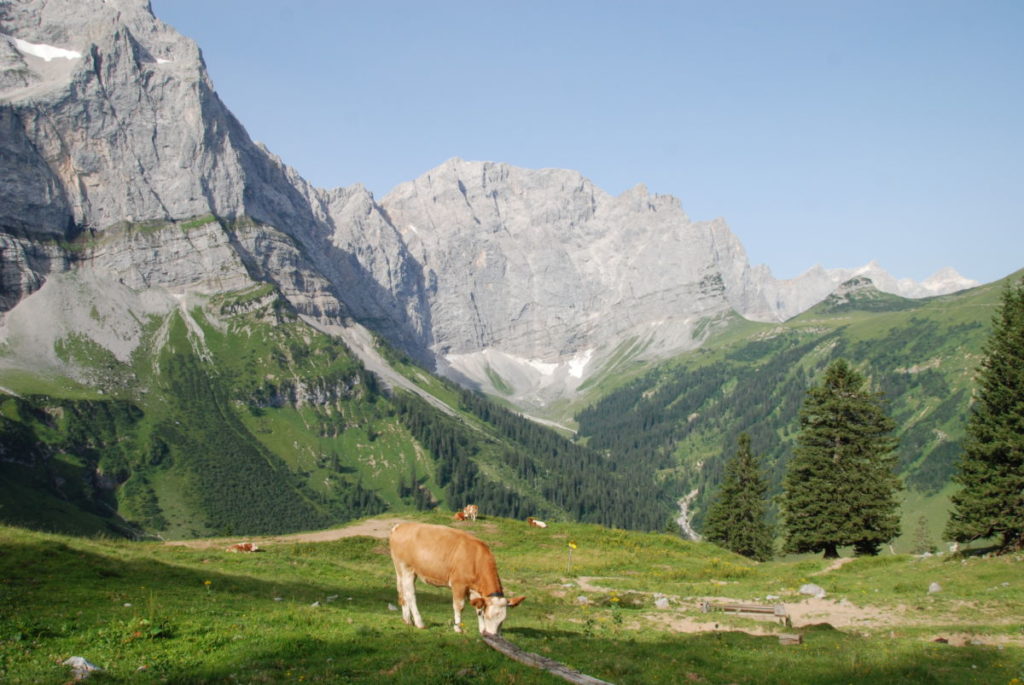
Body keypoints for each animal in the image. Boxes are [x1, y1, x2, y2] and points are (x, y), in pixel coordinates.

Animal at [387, 520, 524, 634]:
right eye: (488, 617)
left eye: (503, 620)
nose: (494, 635)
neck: (476, 558)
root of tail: (400, 526)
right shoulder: (458, 584)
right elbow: (459, 606)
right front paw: (458, 628)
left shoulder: (474, 589)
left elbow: (477, 608)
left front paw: (481, 630)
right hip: (407, 569)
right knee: (410, 595)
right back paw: (419, 622)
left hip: (401, 570)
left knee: (402, 592)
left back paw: (407, 620)